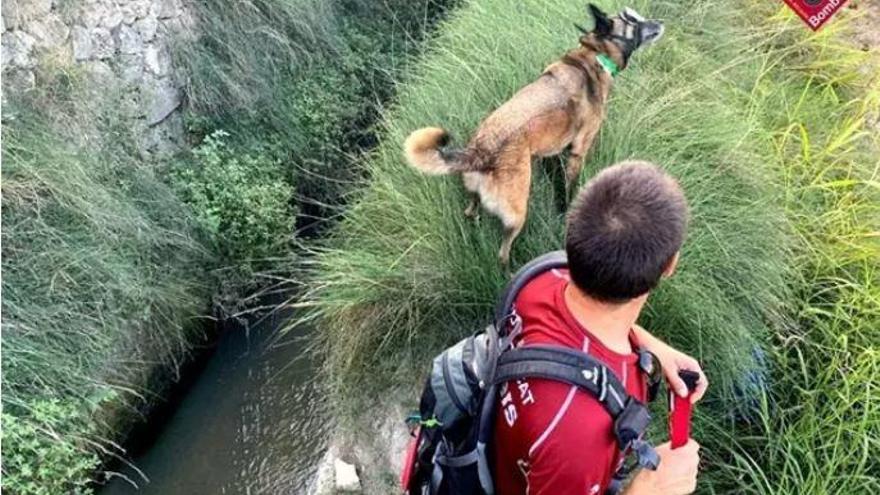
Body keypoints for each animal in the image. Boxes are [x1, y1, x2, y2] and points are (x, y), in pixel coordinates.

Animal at [404, 3, 660, 266]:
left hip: (476, 195)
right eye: (633, 21)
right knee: (503, 251)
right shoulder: (578, 151)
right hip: (518, 213)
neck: (595, 55)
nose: (660, 23)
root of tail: (481, 151)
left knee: (470, 211)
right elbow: (570, 188)